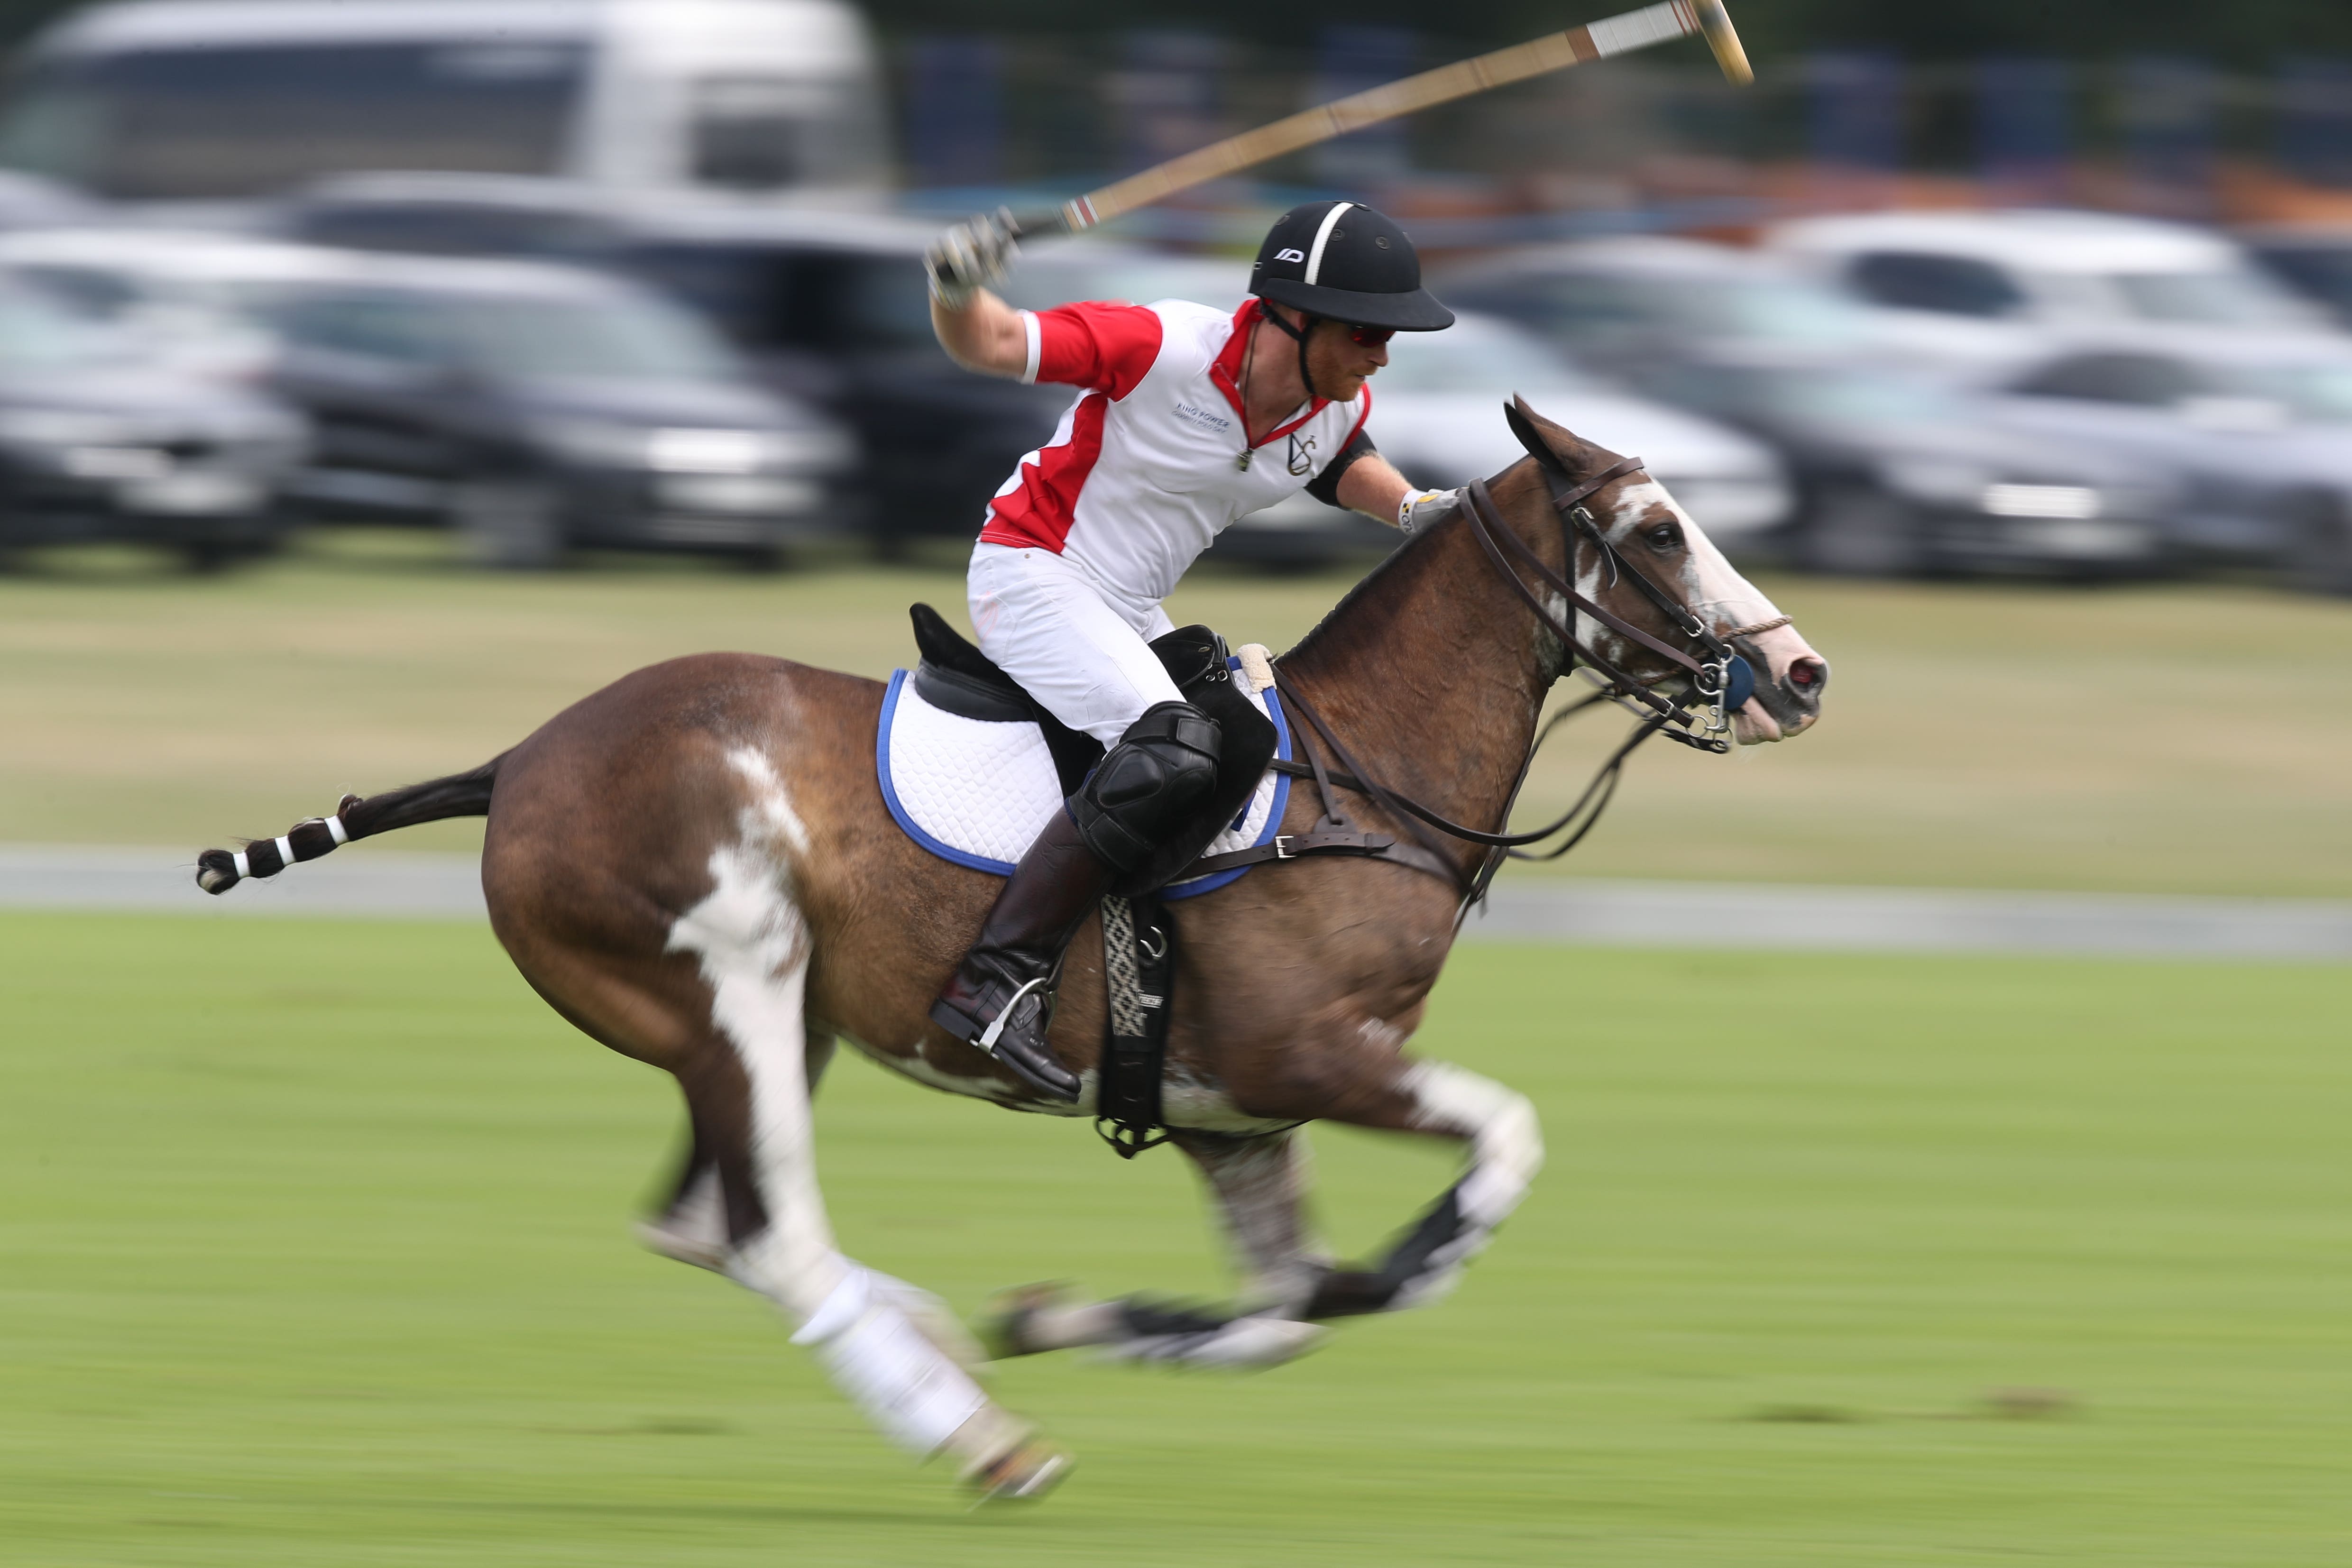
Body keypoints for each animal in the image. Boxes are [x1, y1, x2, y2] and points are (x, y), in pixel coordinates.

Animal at [193, 402, 1825, 1495]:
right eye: (1660, 530)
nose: (1803, 671)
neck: (1364, 777)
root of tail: (520, 759)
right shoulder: (1311, 1056)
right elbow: (1487, 1158)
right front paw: (1385, 1260)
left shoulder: (1230, 1117)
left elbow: (1297, 1307)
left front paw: (1070, 1316)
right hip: (732, 986)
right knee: (768, 1228)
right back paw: (979, 1436)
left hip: (766, 1023)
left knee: (702, 1220)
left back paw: (936, 1342)